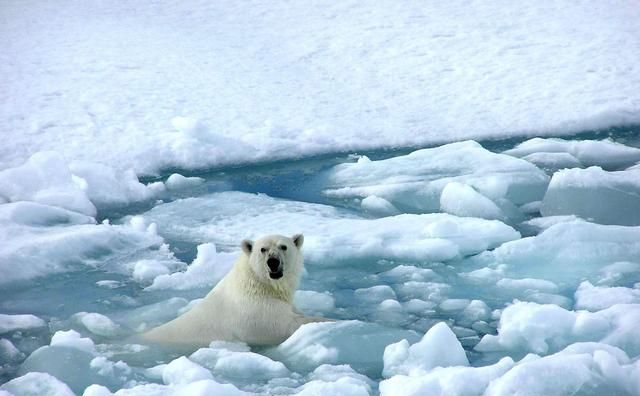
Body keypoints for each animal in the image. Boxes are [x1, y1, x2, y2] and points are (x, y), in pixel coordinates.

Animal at [140, 234, 330, 344]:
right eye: (263, 249)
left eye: (283, 246)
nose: (273, 262)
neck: (259, 285)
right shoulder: (256, 313)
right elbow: (286, 325)